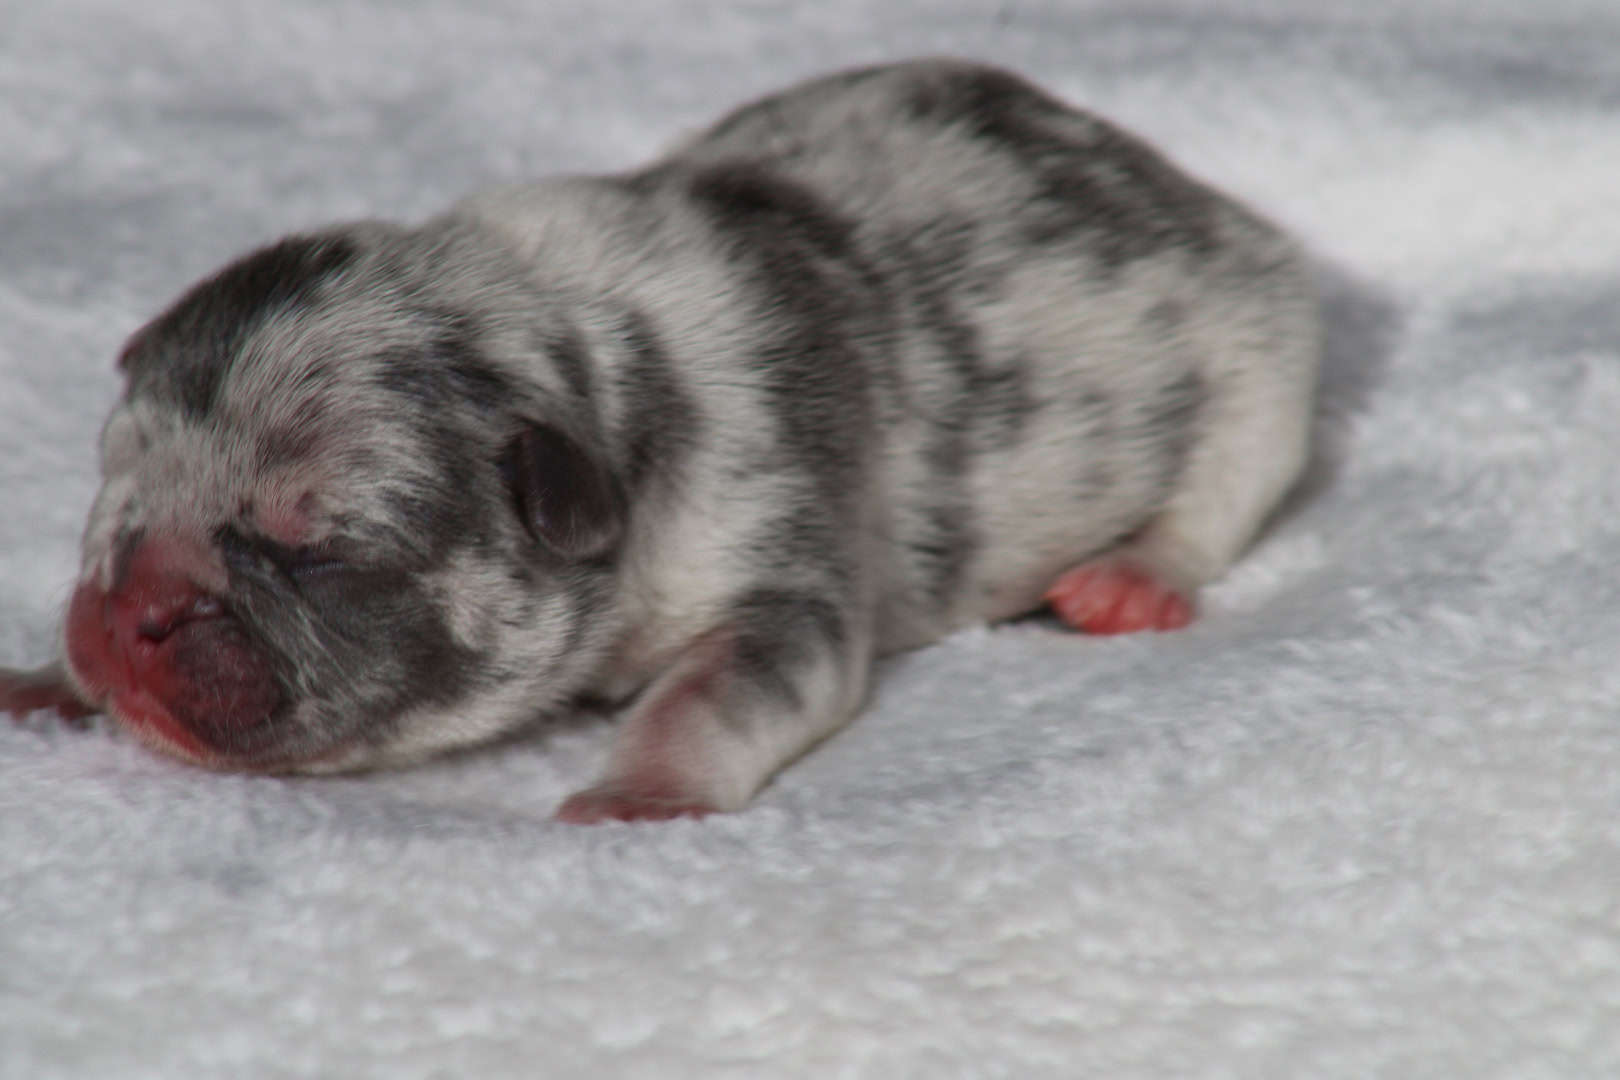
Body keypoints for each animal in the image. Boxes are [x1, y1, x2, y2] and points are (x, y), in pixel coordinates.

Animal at [0, 59, 1315, 819]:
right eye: (115, 494)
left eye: (315, 551)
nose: (131, 605)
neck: (585, 348)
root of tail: (1150, 167)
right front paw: (48, 677)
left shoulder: (782, 573)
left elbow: (711, 694)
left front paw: (638, 796)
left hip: (1263, 342)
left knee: (1220, 488)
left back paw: (1131, 577)